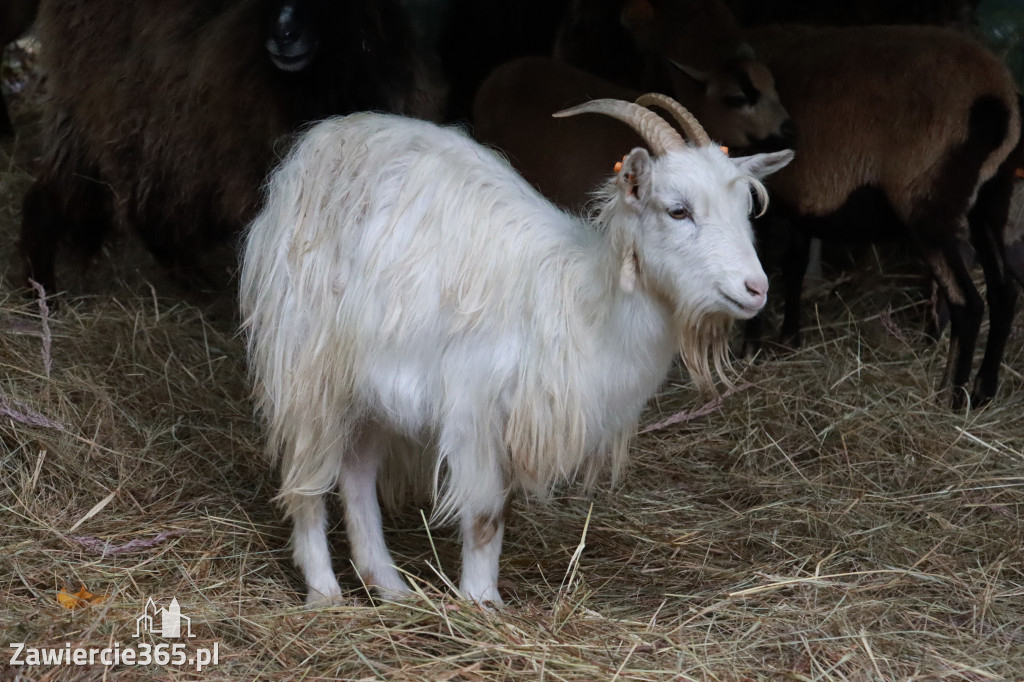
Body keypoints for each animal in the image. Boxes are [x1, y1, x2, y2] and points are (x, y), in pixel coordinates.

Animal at [239, 93, 790, 602]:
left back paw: (389, 587)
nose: (756, 288)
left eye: (745, 210)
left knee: (356, 471)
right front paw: (481, 603)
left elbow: (496, 512)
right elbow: (484, 515)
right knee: (305, 476)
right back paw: (324, 593)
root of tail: (321, 140)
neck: (584, 304)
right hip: (306, 362)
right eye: (678, 210)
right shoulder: (473, 408)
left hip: (369, 384)